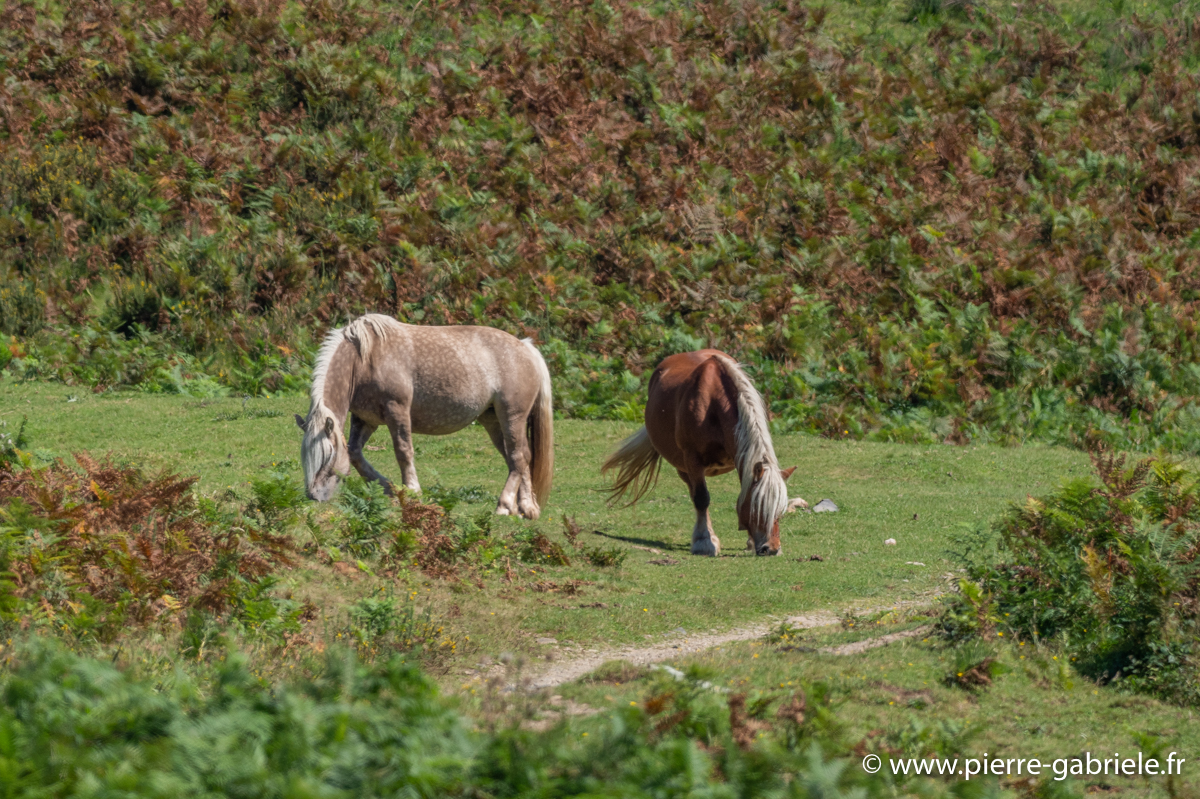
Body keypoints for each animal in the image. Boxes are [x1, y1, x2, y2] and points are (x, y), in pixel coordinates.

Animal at [295, 313, 554, 520]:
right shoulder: (365, 419)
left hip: (512, 416)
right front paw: (388, 489)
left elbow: (403, 451)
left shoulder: (397, 410)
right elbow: (355, 454)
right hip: (493, 421)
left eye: (327, 455)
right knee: (519, 458)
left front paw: (412, 491)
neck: (364, 358)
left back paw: (505, 505)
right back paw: (526, 508)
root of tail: (526, 347)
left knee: (519, 457)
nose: (315, 496)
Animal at [602, 350, 795, 557]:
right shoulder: (692, 459)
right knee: (694, 492)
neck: (714, 403)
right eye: (758, 508)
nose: (771, 549)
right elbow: (702, 498)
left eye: (780, 511)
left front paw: (749, 542)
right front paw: (705, 542)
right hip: (683, 466)